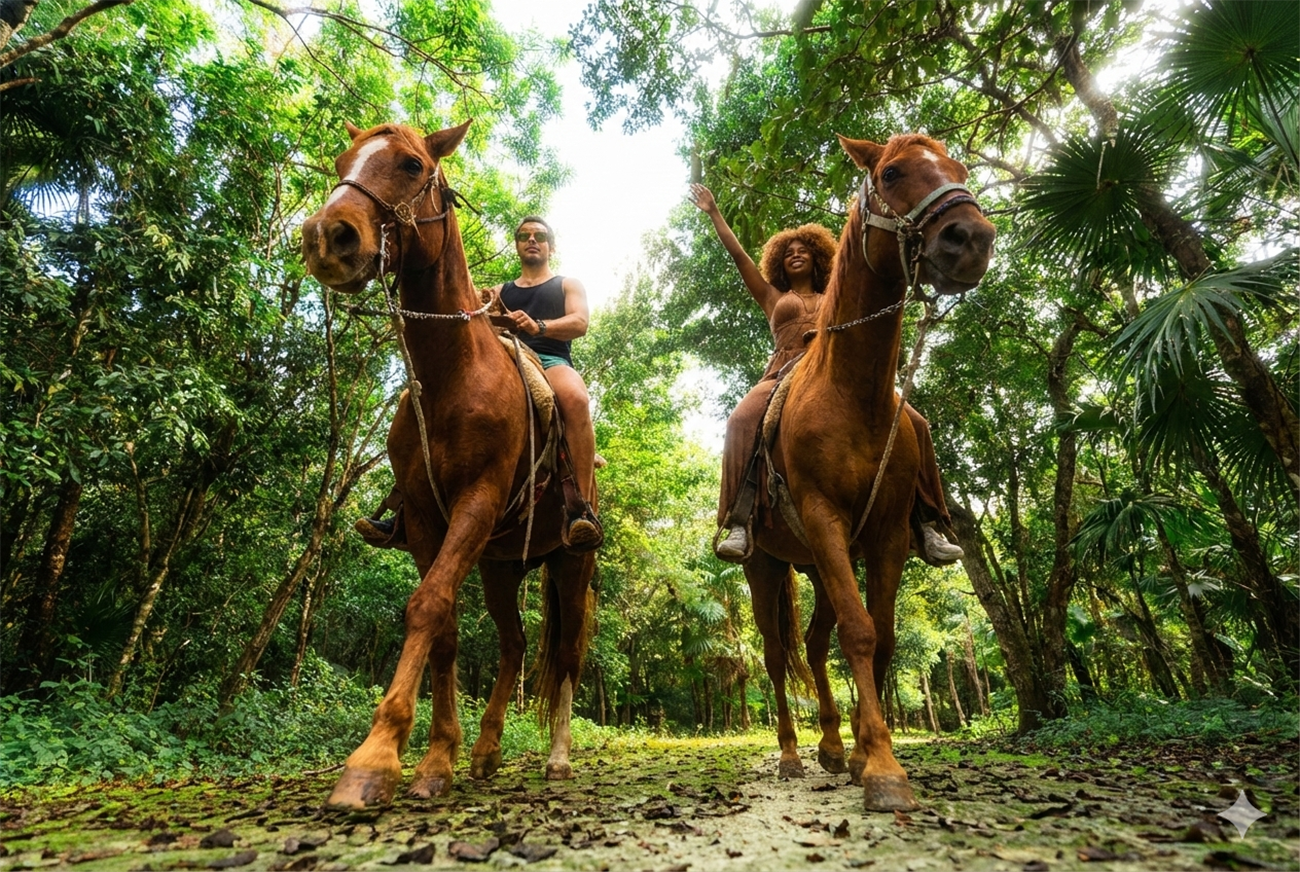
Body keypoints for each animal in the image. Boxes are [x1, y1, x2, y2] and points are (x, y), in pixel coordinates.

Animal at [301, 120, 596, 809]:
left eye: (411, 166)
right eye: (342, 161)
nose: (327, 237)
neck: (451, 376)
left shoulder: (477, 501)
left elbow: (428, 607)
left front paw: (373, 761)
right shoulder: (426, 518)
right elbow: (447, 628)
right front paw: (438, 759)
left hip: (570, 561)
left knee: (567, 653)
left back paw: (558, 759)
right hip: (500, 564)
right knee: (515, 644)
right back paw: (487, 752)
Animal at [744, 133, 995, 811]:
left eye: (959, 168)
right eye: (892, 173)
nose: (971, 237)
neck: (852, 392)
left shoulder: (884, 535)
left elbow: (880, 636)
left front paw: (861, 755)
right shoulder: (824, 518)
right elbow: (859, 634)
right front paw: (882, 769)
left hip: (815, 564)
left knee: (812, 642)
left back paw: (832, 747)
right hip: (765, 566)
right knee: (777, 655)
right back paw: (790, 754)